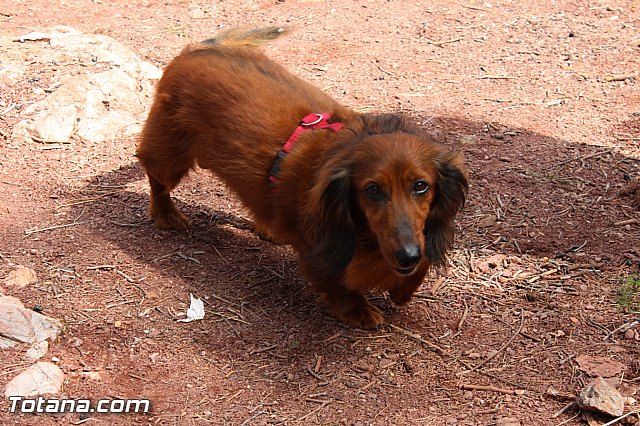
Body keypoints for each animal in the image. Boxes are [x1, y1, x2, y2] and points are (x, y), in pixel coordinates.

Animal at [136, 27, 464, 330]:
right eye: (372, 190)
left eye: (420, 186)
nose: (407, 255)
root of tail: (195, 50)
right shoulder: (314, 247)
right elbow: (335, 281)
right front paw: (358, 309)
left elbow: (421, 264)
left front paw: (404, 288)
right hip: (170, 155)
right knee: (157, 180)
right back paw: (166, 214)